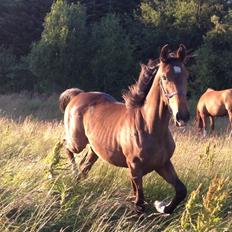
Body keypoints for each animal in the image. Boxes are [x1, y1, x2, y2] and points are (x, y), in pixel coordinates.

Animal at [59, 44, 189, 215]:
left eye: (187, 76)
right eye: (165, 77)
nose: (182, 116)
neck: (150, 128)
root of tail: (77, 95)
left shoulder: (163, 164)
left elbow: (181, 190)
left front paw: (161, 206)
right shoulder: (135, 168)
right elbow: (139, 202)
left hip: (95, 150)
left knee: (85, 165)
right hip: (77, 141)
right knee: (65, 145)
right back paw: (66, 172)